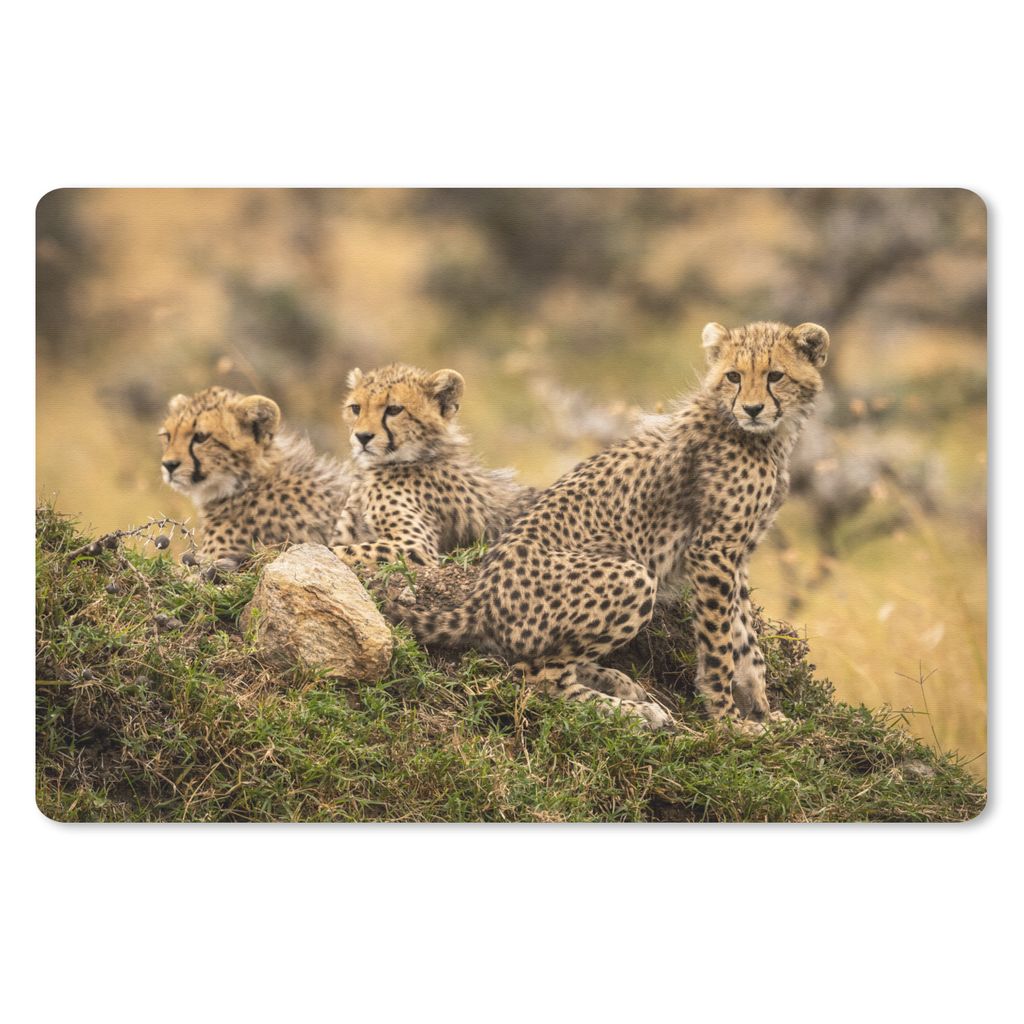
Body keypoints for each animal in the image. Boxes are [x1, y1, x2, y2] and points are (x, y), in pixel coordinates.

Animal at [387, 321, 830, 732]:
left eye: (775, 375)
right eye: (734, 376)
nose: (752, 409)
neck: (763, 435)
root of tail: (479, 602)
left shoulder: (735, 555)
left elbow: (746, 641)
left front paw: (765, 712)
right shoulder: (713, 552)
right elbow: (721, 644)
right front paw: (728, 721)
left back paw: (618, 683)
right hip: (633, 575)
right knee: (539, 675)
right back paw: (637, 712)